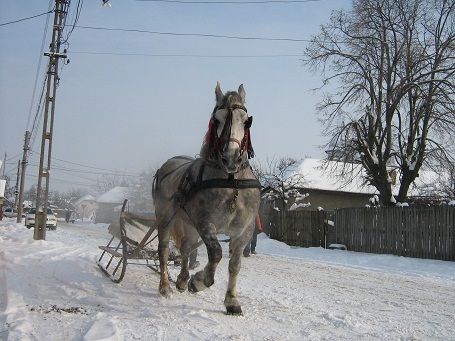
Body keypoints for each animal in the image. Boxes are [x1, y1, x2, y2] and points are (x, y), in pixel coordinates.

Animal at [152, 81, 262, 314]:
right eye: (217, 120)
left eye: (245, 121)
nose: (231, 158)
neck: (231, 183)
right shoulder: (205, 223)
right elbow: (216, 254)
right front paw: (199, 281)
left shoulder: (245, 231)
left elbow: (235, 264)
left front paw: (231, 301)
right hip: (165, 218)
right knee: (164, 250)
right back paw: (165, 286)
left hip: (190, 226)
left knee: (186, 248)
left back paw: (182, 280)